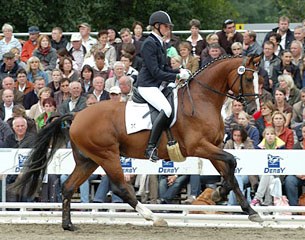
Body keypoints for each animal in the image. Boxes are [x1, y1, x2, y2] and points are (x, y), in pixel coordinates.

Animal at [13, 55, 262, 230]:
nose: (252, 110)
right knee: (121, 188)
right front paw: (223, 195)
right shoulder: (199, 146)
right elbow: (231, 162)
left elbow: (230, 171)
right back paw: (154, 217)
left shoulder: (213, 147)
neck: (202, 100)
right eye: (249, 78)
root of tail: (76, 115)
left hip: (88, 160)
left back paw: (68, 225)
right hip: (107, 155)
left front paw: (248, 210)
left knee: (68, 187)